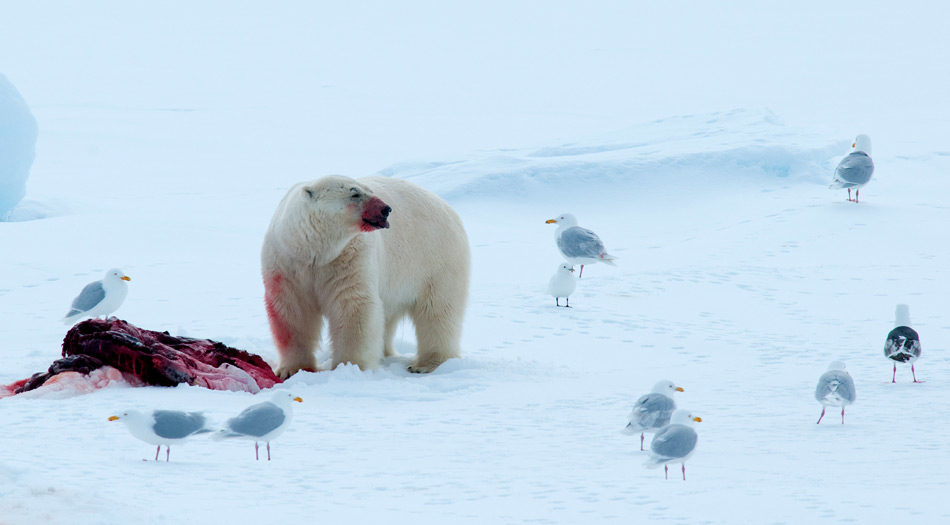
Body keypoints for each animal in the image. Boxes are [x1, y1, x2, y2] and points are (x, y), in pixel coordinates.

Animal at [262, 176, 470, 376]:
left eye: (370, 190)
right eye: (354, 193)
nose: (386, 209)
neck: (316, 251)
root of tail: (448, 207)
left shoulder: (349, 258)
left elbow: (353, 306)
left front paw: (350, 366)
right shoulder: (287, 263)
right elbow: (292, 312)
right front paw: (291, 369)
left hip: (436, 259)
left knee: (438, 311)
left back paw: (427, 364)